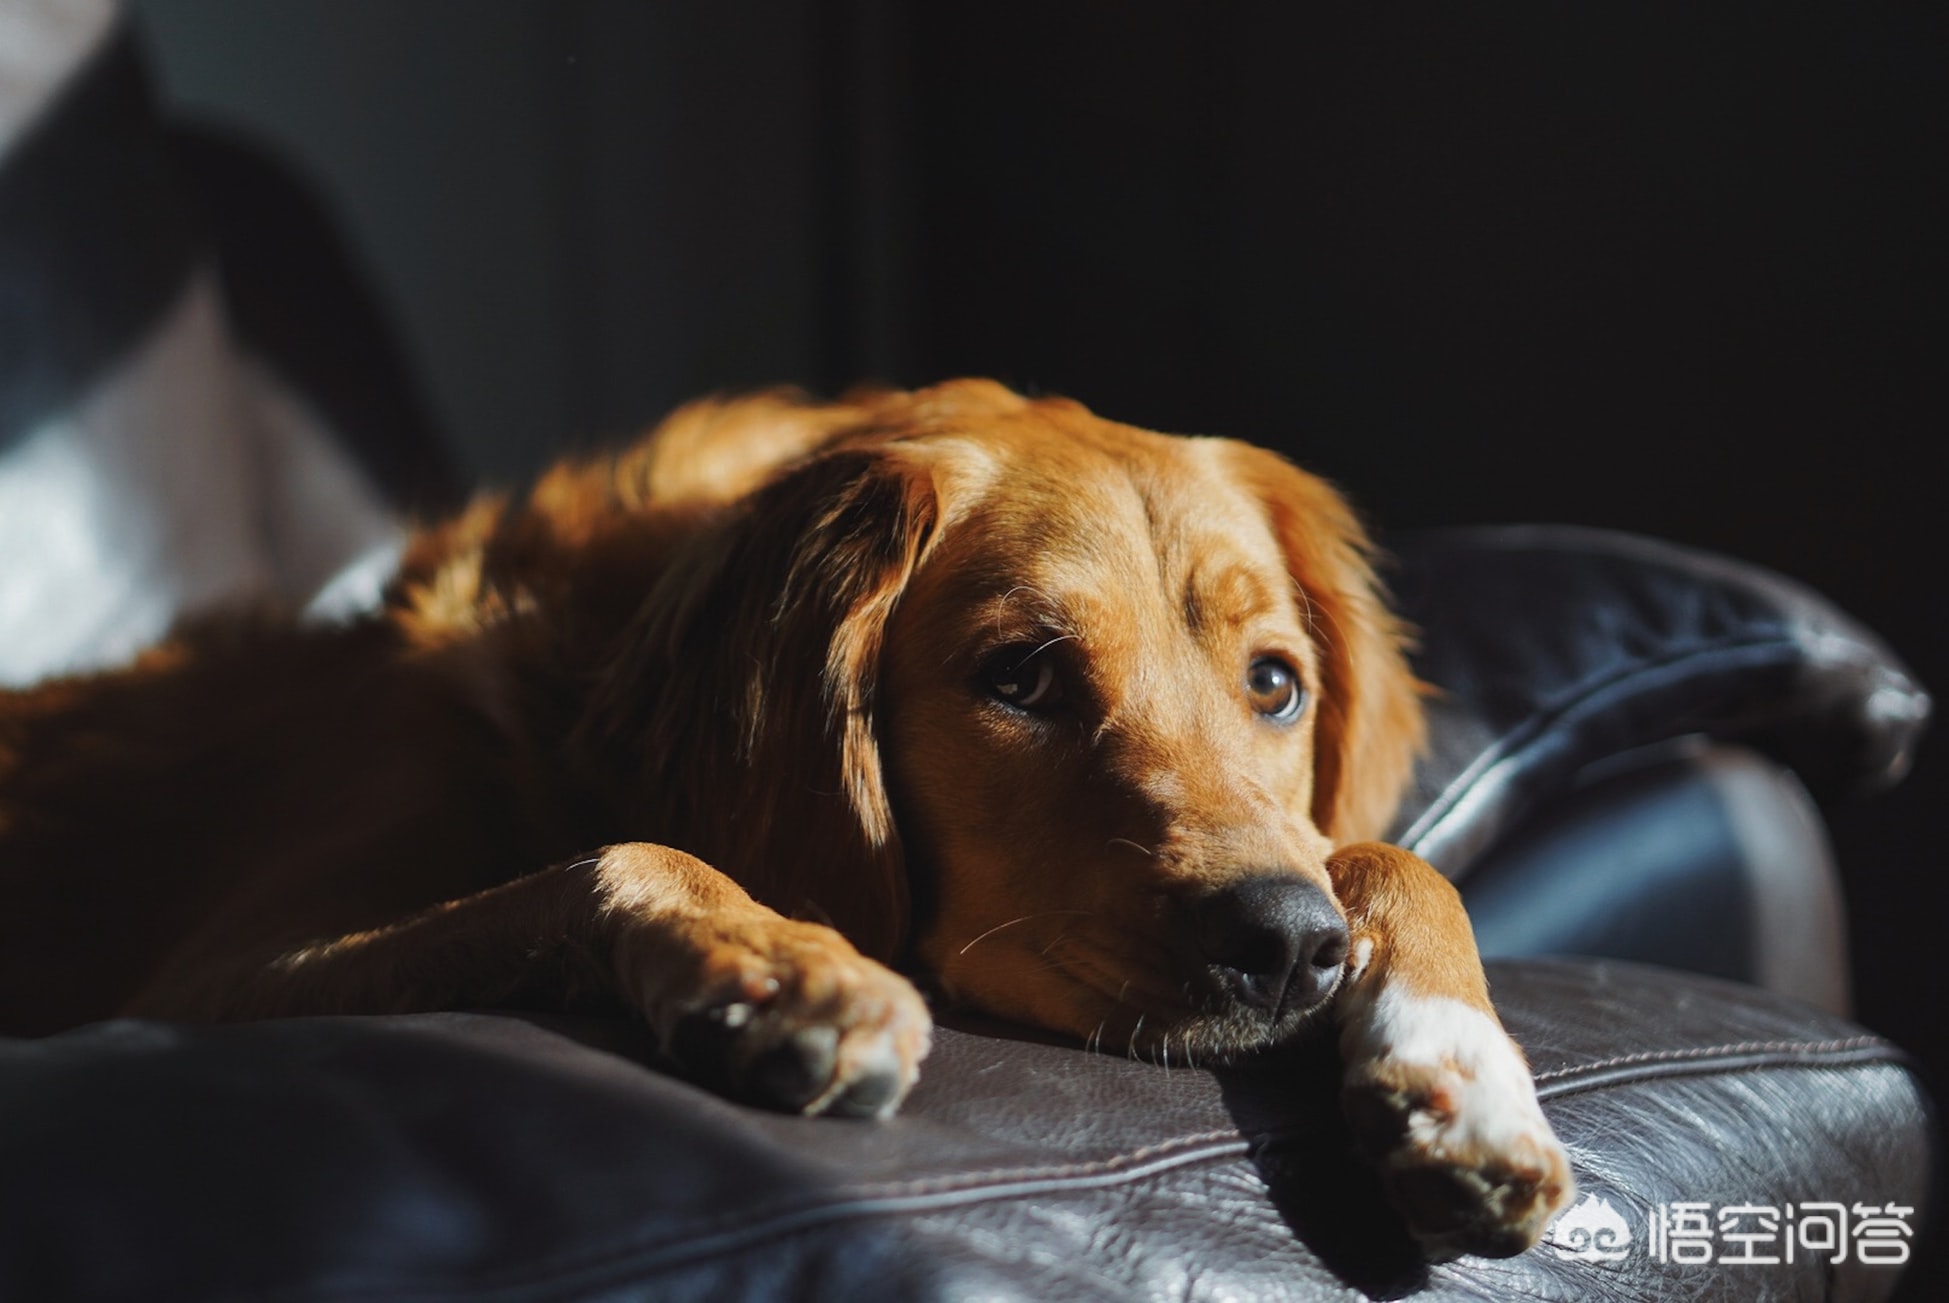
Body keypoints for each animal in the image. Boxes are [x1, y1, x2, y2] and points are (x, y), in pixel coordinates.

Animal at [0, 381, 1566, 1254]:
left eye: (1275, 684)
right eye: (1020, 677)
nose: (1288, 947)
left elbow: (1389, 857)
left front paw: (1462, 1080)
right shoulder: (221, 974)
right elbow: (624, 848)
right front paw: (785, 964)